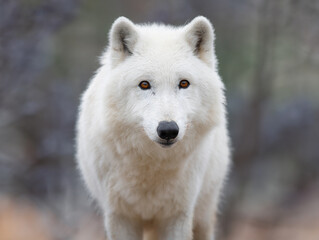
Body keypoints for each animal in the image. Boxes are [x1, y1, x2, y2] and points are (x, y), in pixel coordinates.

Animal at [77, 15, 232, 239]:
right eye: (144, 84)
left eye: (183, 83)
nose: (168, 130)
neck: (152, 167)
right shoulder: (119, 217)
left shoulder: (178, 216)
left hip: (203, 216)